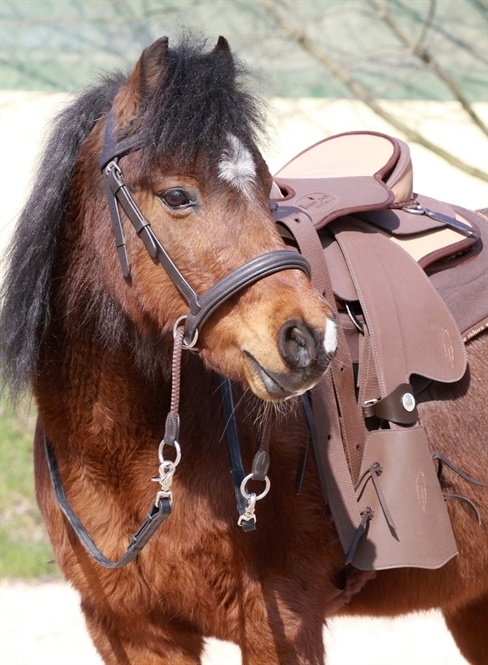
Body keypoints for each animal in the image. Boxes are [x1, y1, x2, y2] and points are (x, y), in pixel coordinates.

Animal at [0, 35, 486, 665]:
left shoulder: (280, 621)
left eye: (265, 188)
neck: (116, 450)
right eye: (177, 195)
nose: (311, 340)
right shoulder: (132, 631)